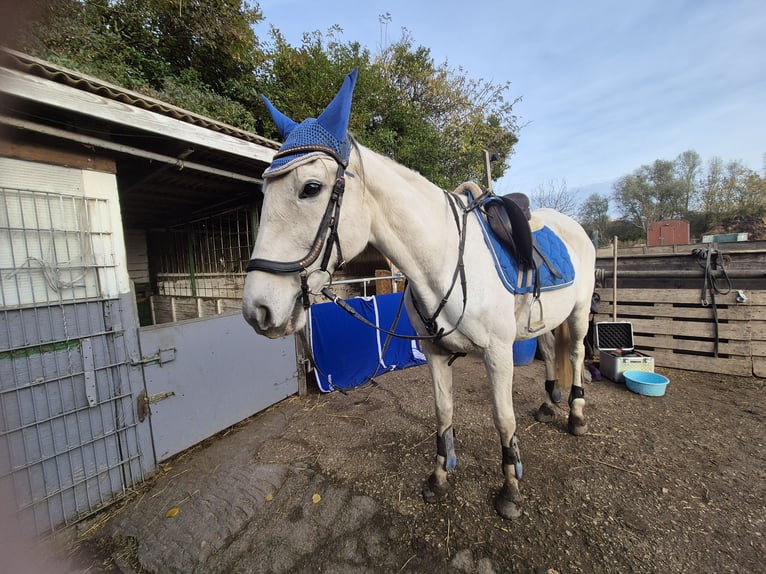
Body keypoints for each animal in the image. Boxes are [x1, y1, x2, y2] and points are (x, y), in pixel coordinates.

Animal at [242, 69, 596, 520]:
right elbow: (443, 412)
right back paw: (550, 403)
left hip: (580, 312)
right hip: (545, 318)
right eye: (263, 193)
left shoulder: (498, 355)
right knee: (550, 350)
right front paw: (440, 477)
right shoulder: (435, 354)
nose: (257, 308)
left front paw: (511, 490)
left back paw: (575, 415)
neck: (443, 258)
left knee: (576, 353)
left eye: (311, 187)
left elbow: (503, 419)